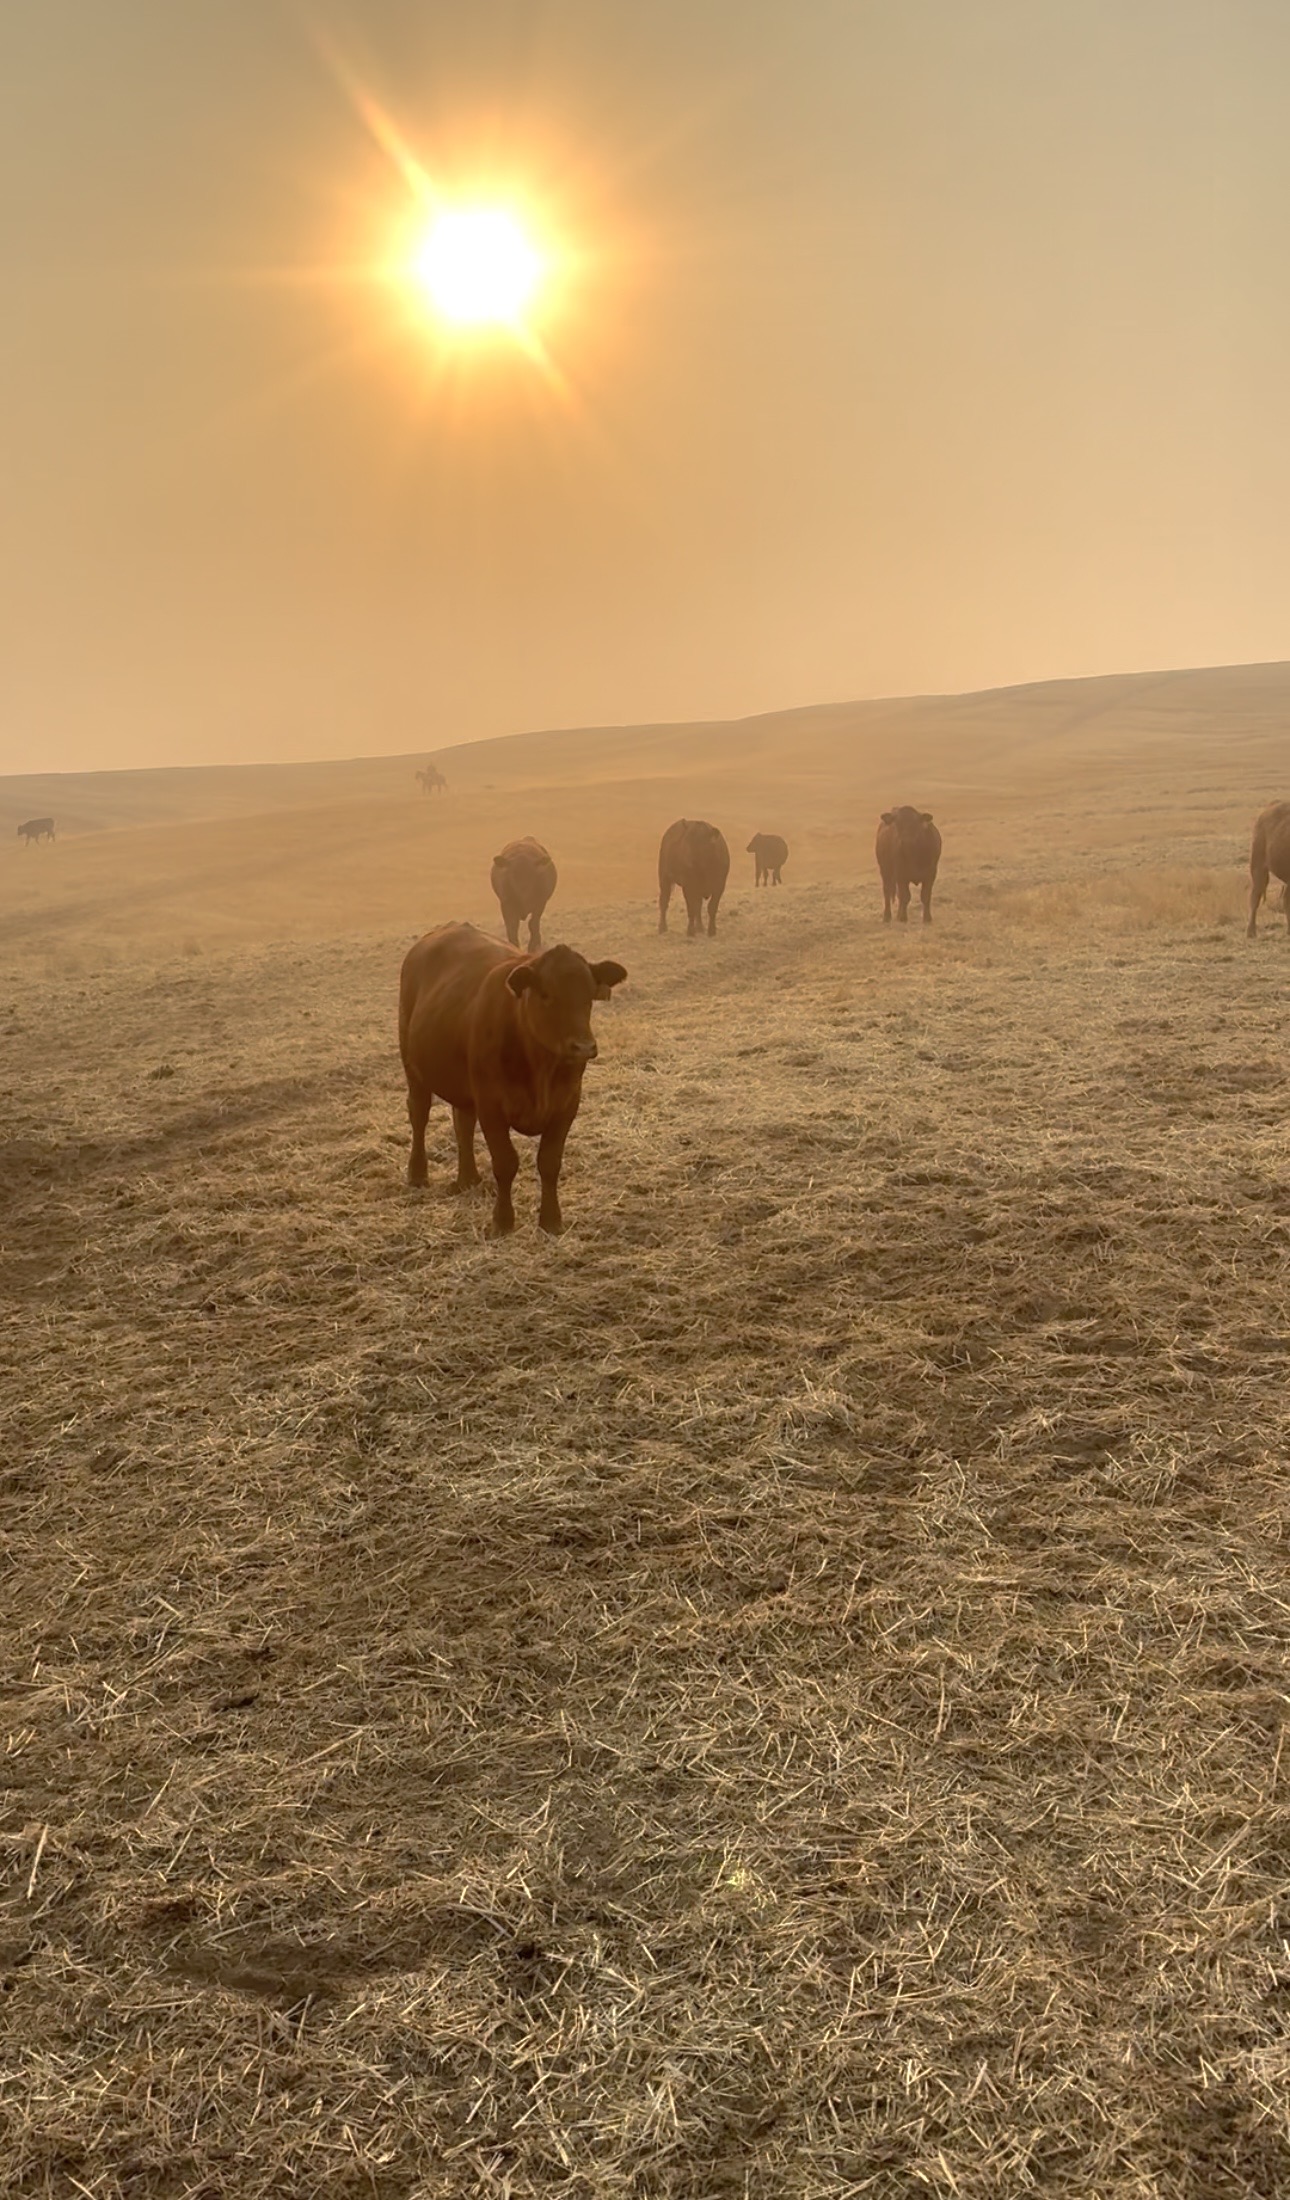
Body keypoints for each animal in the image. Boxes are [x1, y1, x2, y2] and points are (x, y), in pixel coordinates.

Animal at [399, 922, 627, 1235]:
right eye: (546, 994)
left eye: (589, 995)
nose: (583, 1047)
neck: (540, 1069)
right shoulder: (491, 1106)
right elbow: (505, 1162)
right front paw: (503, 1221)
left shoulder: (567, 1105)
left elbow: (550, 1162)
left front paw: (551, 1220)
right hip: (413, 1068)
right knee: (419, 1115)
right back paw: (418, 1174)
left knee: (463, 1123)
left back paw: (468, 1178)